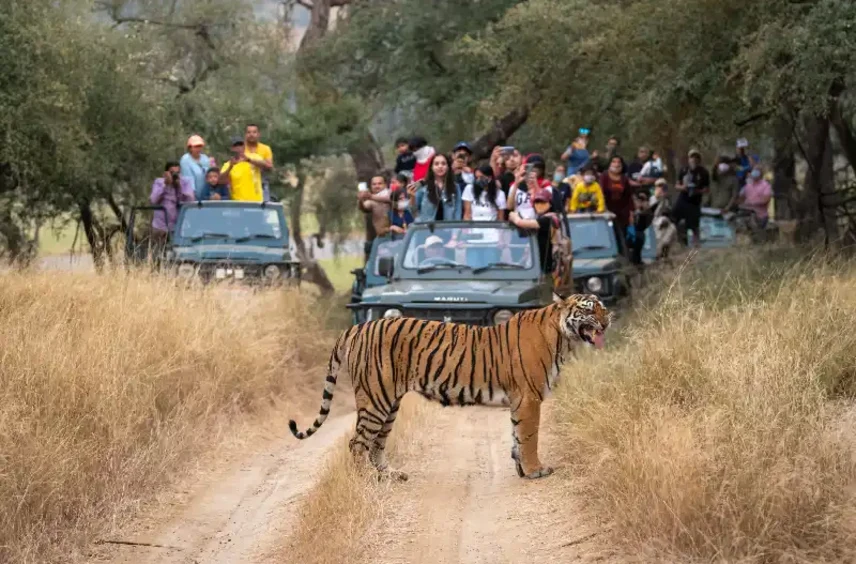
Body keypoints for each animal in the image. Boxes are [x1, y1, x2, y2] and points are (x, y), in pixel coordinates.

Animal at [290, 290, 612, 480]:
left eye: (603, 307)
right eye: (589, 310)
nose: (608, 320)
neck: (563, 338)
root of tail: (358, 326)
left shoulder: (520, 401)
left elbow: (517, 437)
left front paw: (522, 468)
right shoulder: (529, 398)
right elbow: (529, 437)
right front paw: (535, 471)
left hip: (388, 403)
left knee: (375, 445)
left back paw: (391, 475)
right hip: (375, 399)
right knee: (357, 443)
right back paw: (366, 482)